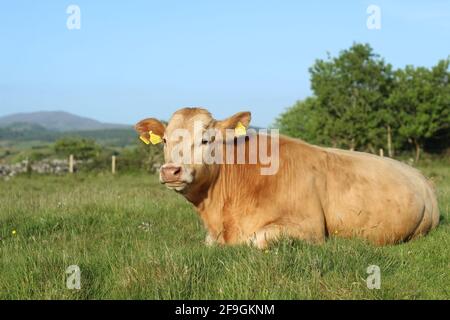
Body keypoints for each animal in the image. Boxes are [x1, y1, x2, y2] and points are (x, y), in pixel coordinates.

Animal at [136, 107, 440, 248]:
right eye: (165, 140)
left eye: (206, 139)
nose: (171, 171)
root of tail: (419, 176)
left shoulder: (310, 228)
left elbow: (257, 240)